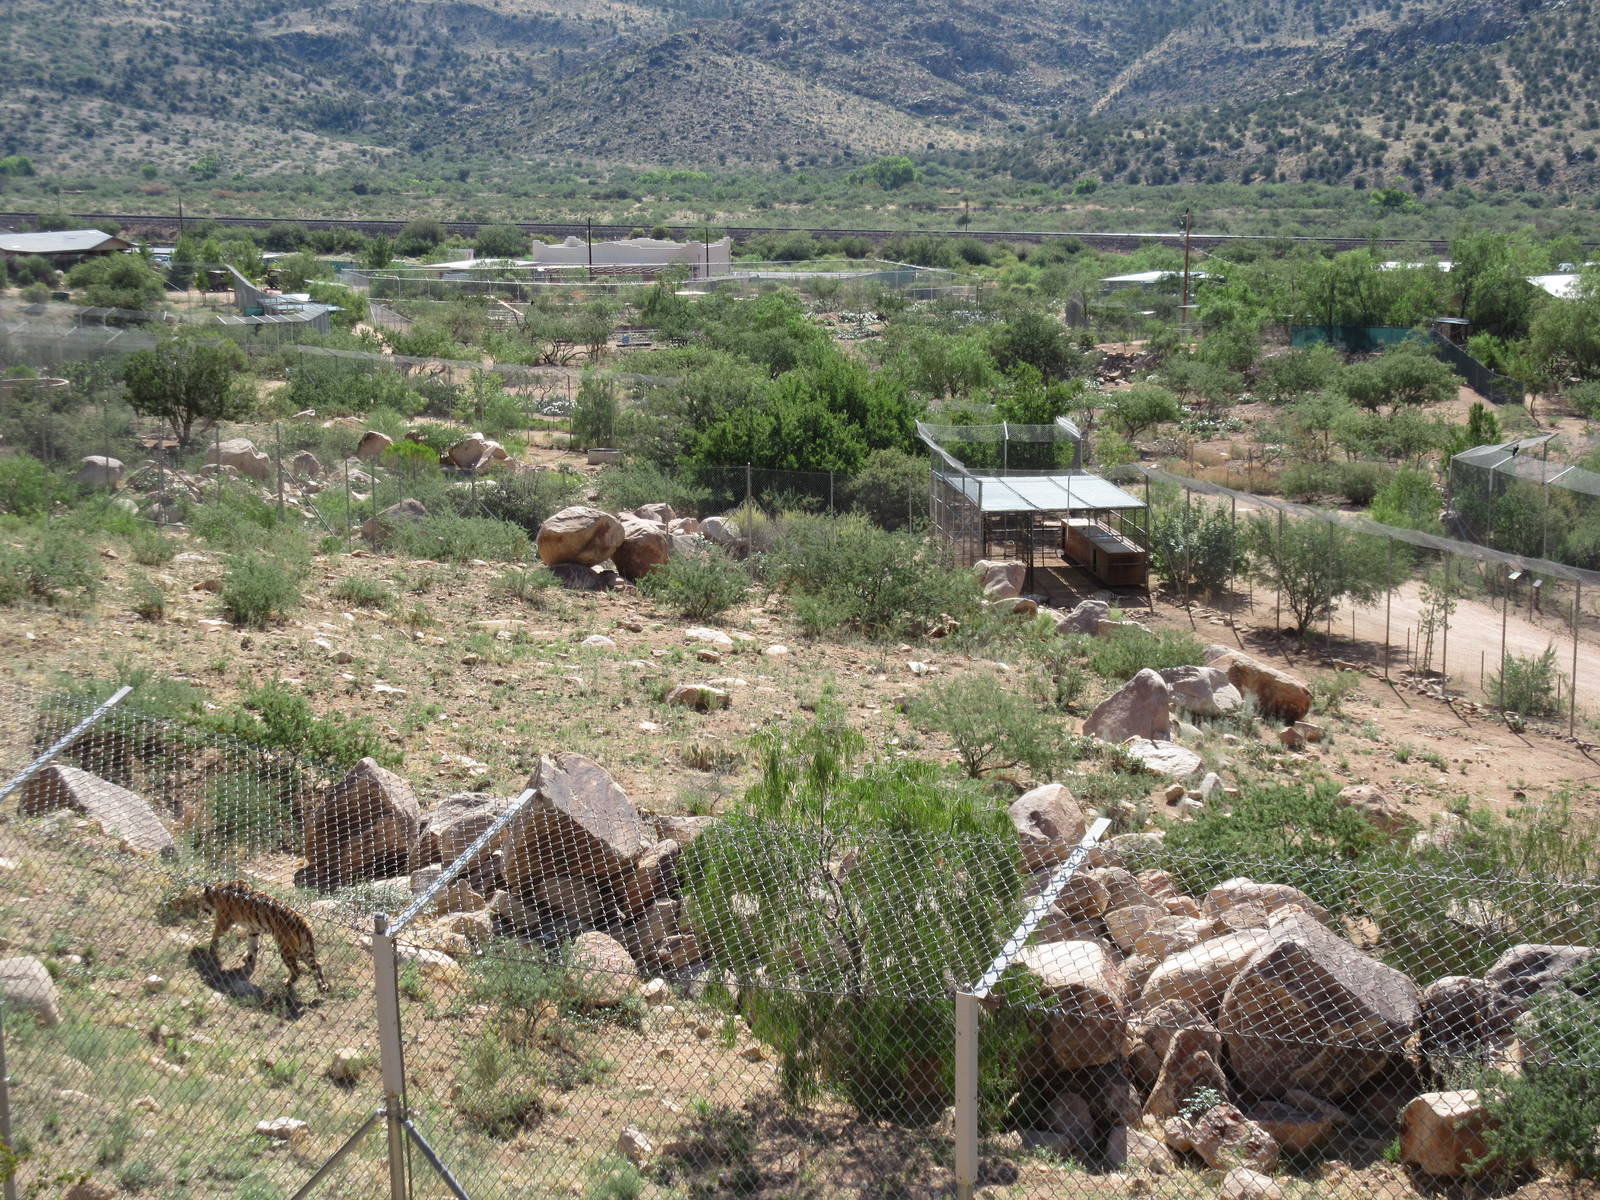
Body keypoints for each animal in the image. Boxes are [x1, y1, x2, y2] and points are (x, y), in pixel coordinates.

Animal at [166, 879, 330, 993]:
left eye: (201, 900)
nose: (201, 908)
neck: (219, 889)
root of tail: (306, 926)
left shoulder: (224, 920)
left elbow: (215, 934)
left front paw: (210, 947)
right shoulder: (253, 928)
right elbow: (253, 945)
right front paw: (248, 958)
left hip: (286, 949)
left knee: (297, 970)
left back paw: (286, 983)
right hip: (302, 950)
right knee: (318, 964)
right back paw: (323, 986)